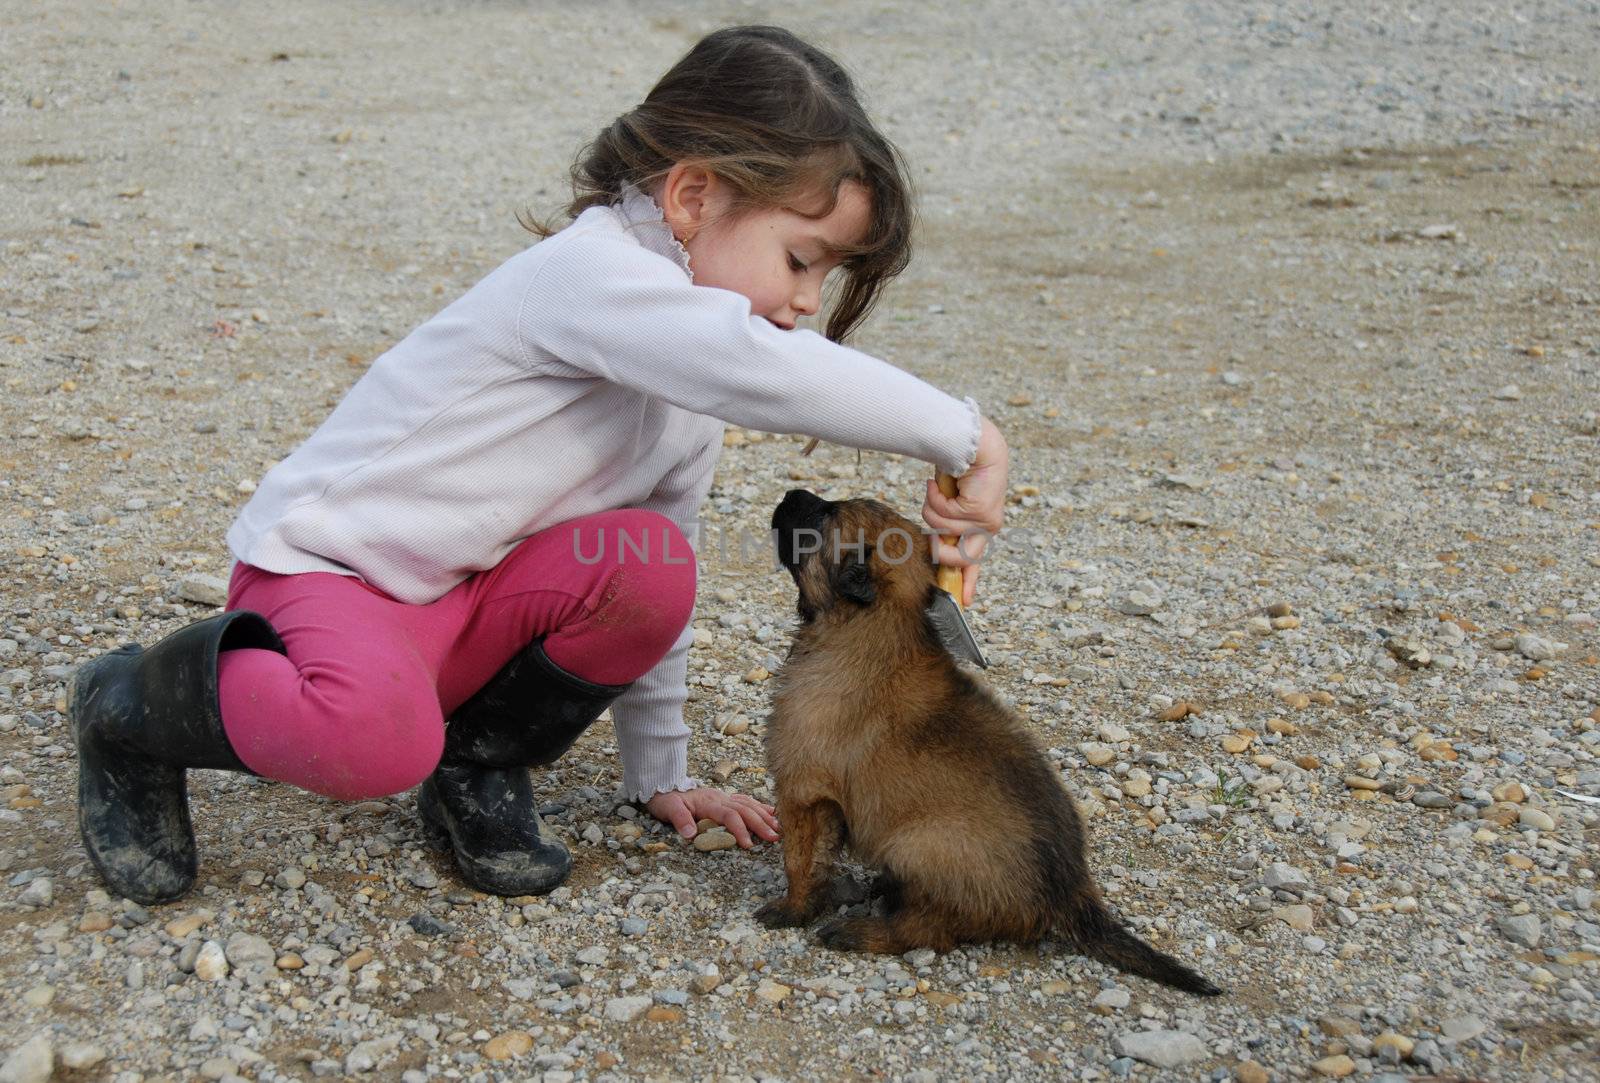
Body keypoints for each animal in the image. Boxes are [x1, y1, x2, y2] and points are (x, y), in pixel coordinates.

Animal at [755, 489, 1216, 998]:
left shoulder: (803, 790)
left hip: (920, 843)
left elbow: (801, 862)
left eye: (825, 515)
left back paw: (860, 930)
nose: (790, 494)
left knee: (926, 931)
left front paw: (791, 910)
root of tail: (1071, 892)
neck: (873, 626)